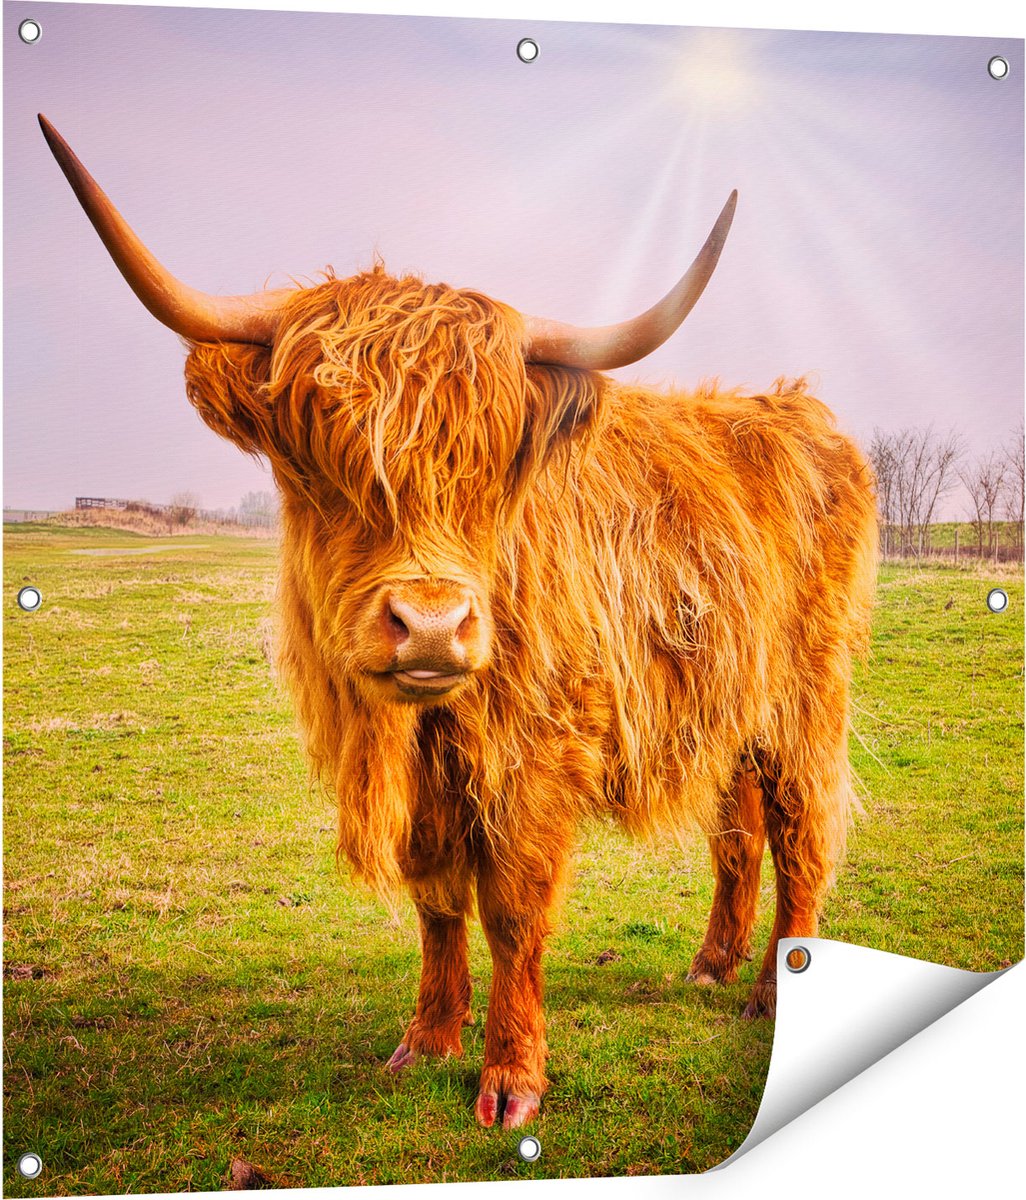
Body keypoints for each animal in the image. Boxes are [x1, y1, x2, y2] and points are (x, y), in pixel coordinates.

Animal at [41, 115, 877, 1131]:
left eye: (490, 465)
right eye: (320, 459)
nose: (433, 626)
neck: (426, 727)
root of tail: (796, 408)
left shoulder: (536, 753)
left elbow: (513, 909)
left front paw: (511, 1079)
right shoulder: (429, 781)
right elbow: (437, 898)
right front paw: (429, 1039)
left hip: (806, 698)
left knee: (802, 833)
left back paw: (771, 989)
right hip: (731, 700)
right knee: (740, 828)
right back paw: (714, 964)